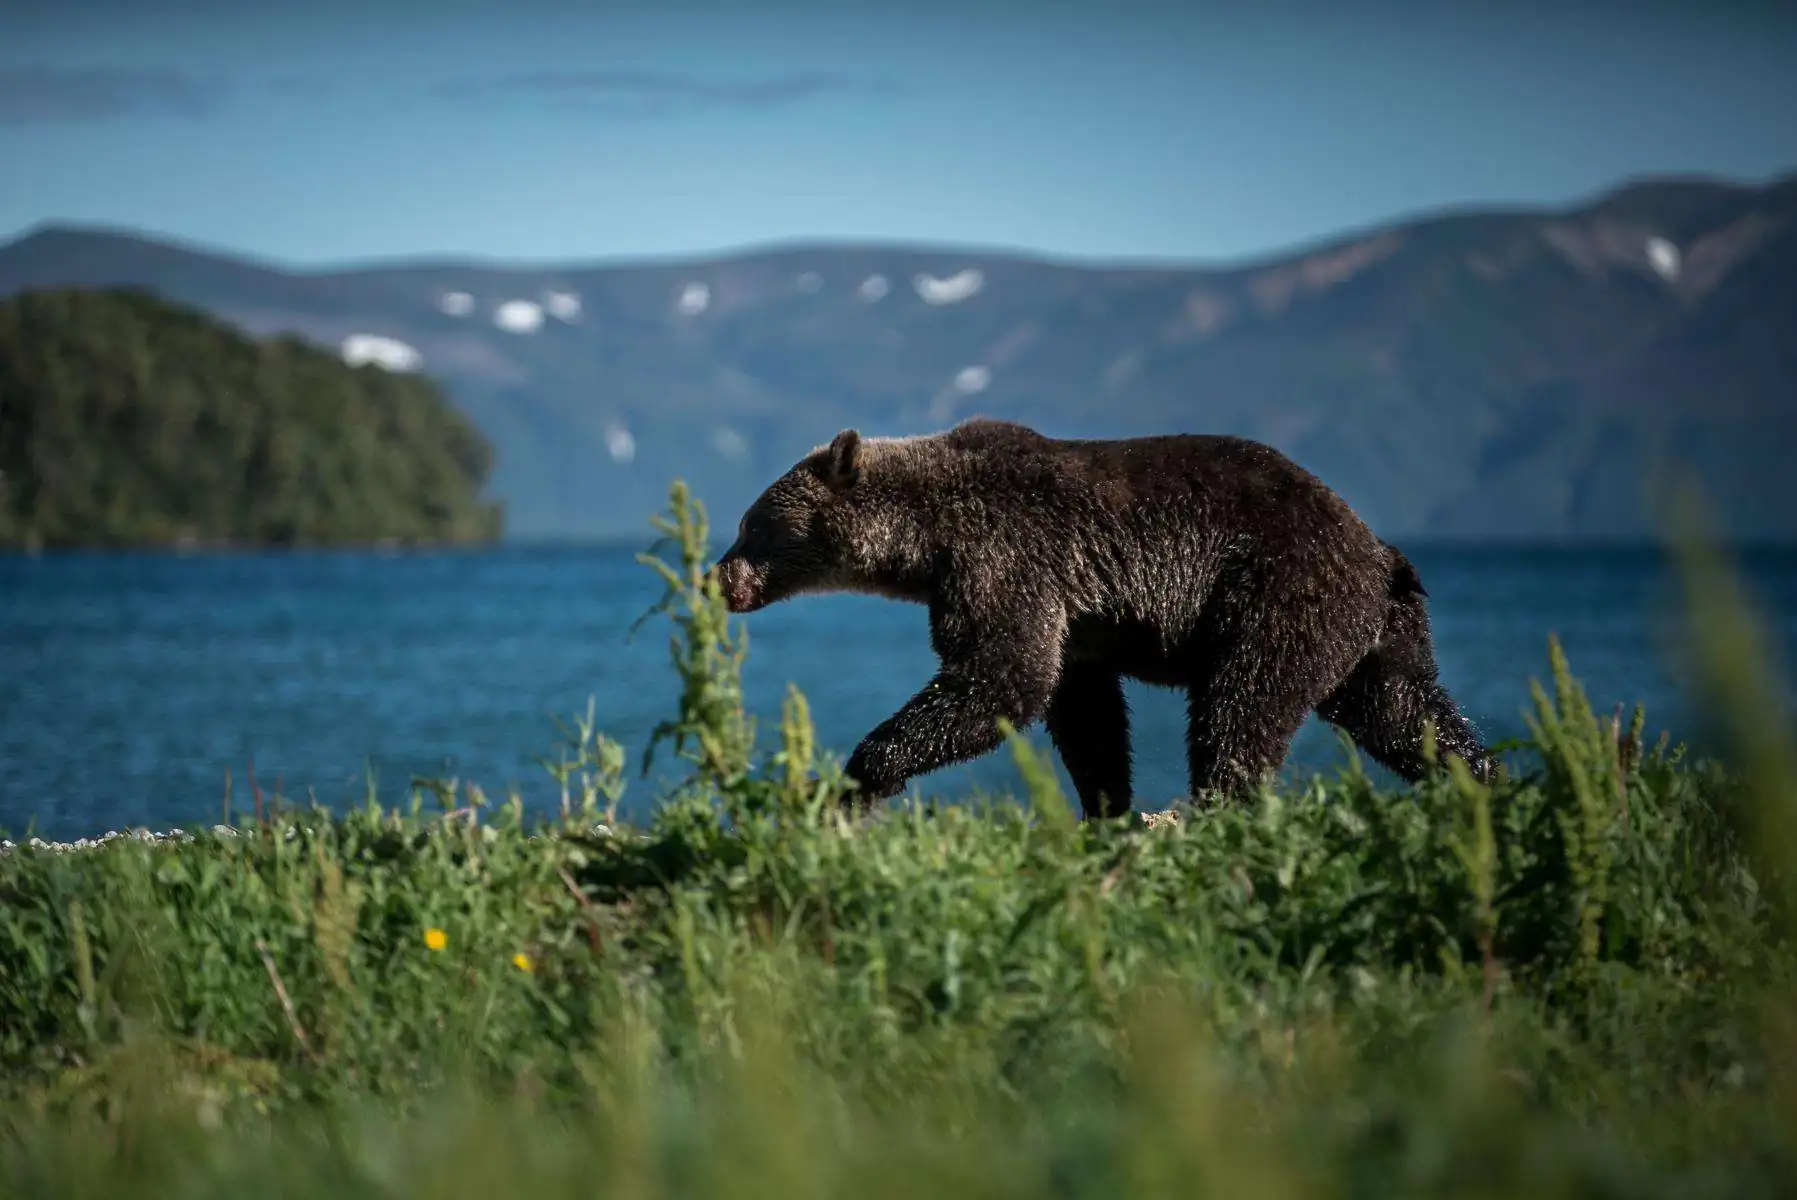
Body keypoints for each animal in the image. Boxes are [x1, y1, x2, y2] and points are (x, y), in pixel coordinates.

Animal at [708, 416, 1495, 819]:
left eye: (750, 525)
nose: (718, 577)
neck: (923, 538)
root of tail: (1378, 550)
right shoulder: (1071, 615)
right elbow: (1079, 708)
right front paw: (1107, 806)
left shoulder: (1005, 556)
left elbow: (1002, 676)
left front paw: (856, 777)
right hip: (1372, 633)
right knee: (1408, 711)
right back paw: (1487, 784)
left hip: (1280, 593)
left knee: (1241, 706)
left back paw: (1215, 808)